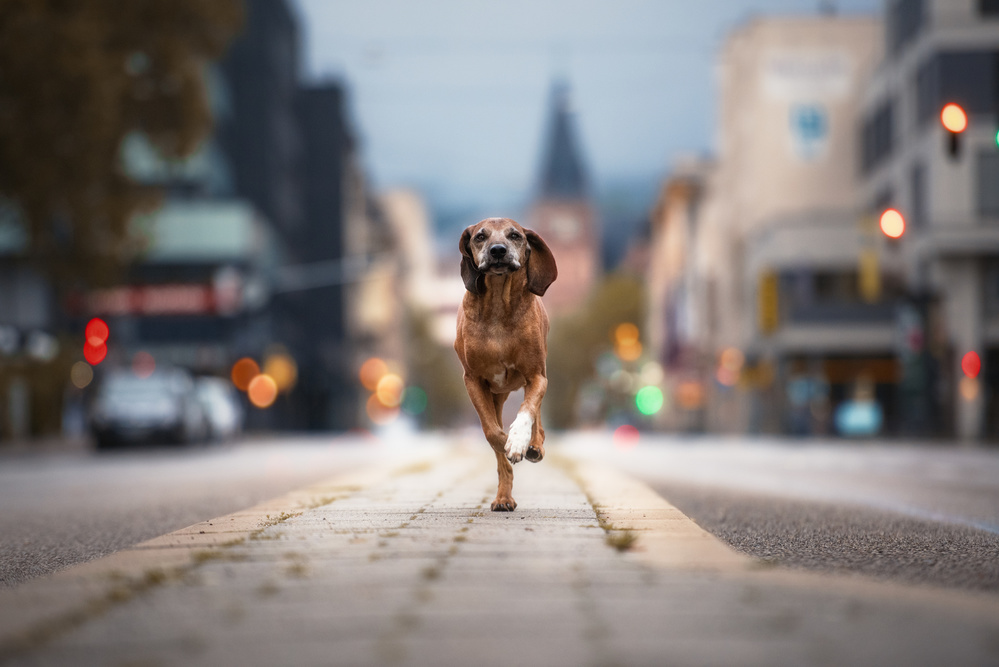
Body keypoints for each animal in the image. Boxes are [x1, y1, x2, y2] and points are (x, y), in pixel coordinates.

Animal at [458, 218, 560, 512]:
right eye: (480, 237)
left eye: (515, 235)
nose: (498, 250)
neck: (498, 307)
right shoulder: (473, 380)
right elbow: (492, 433)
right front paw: (510, 444)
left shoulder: (537, 376)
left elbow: (528, 410)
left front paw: (520, 441)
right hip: (496, 395)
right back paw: (504, 497)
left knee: (537, 417)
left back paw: (534, 445)